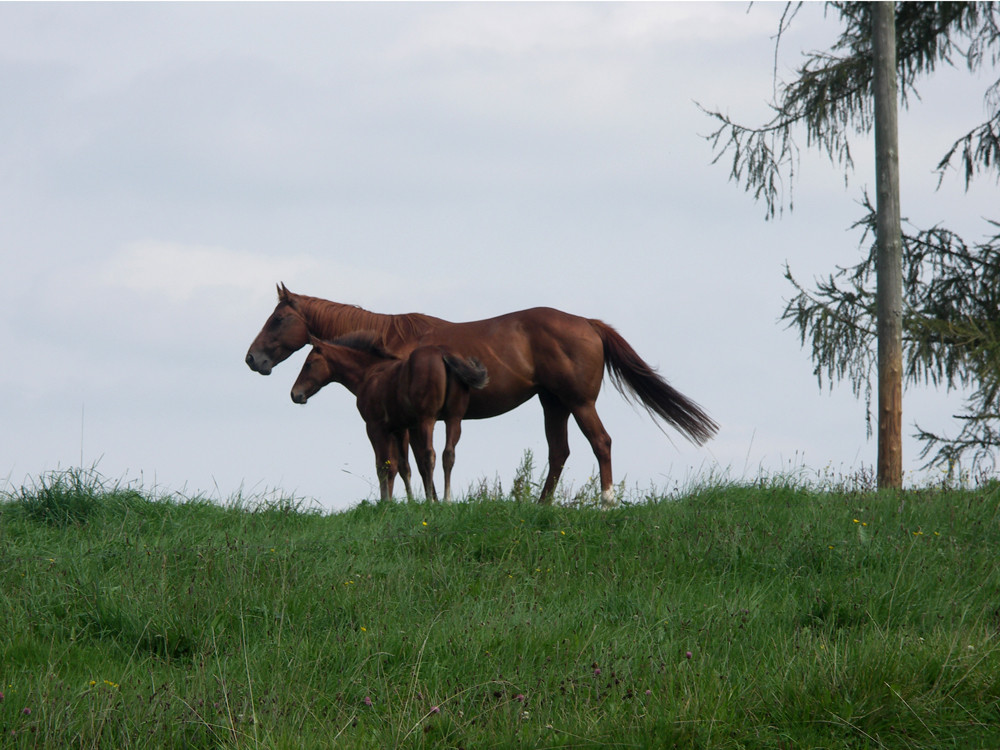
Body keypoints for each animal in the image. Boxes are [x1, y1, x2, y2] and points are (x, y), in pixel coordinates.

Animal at [292, 334, 490, 506]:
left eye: (308, 364)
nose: (295, 394)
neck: (370, 373)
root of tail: (443, 352)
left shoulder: (374, 427)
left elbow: (383, 465)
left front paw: (385, 502)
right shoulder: (400, 428)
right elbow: (402, 466)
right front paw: (410, 502)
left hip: (427, 418)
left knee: (429, 454)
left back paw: (431, 502)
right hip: (454, 418)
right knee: (448, 454)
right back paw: (447, 500)